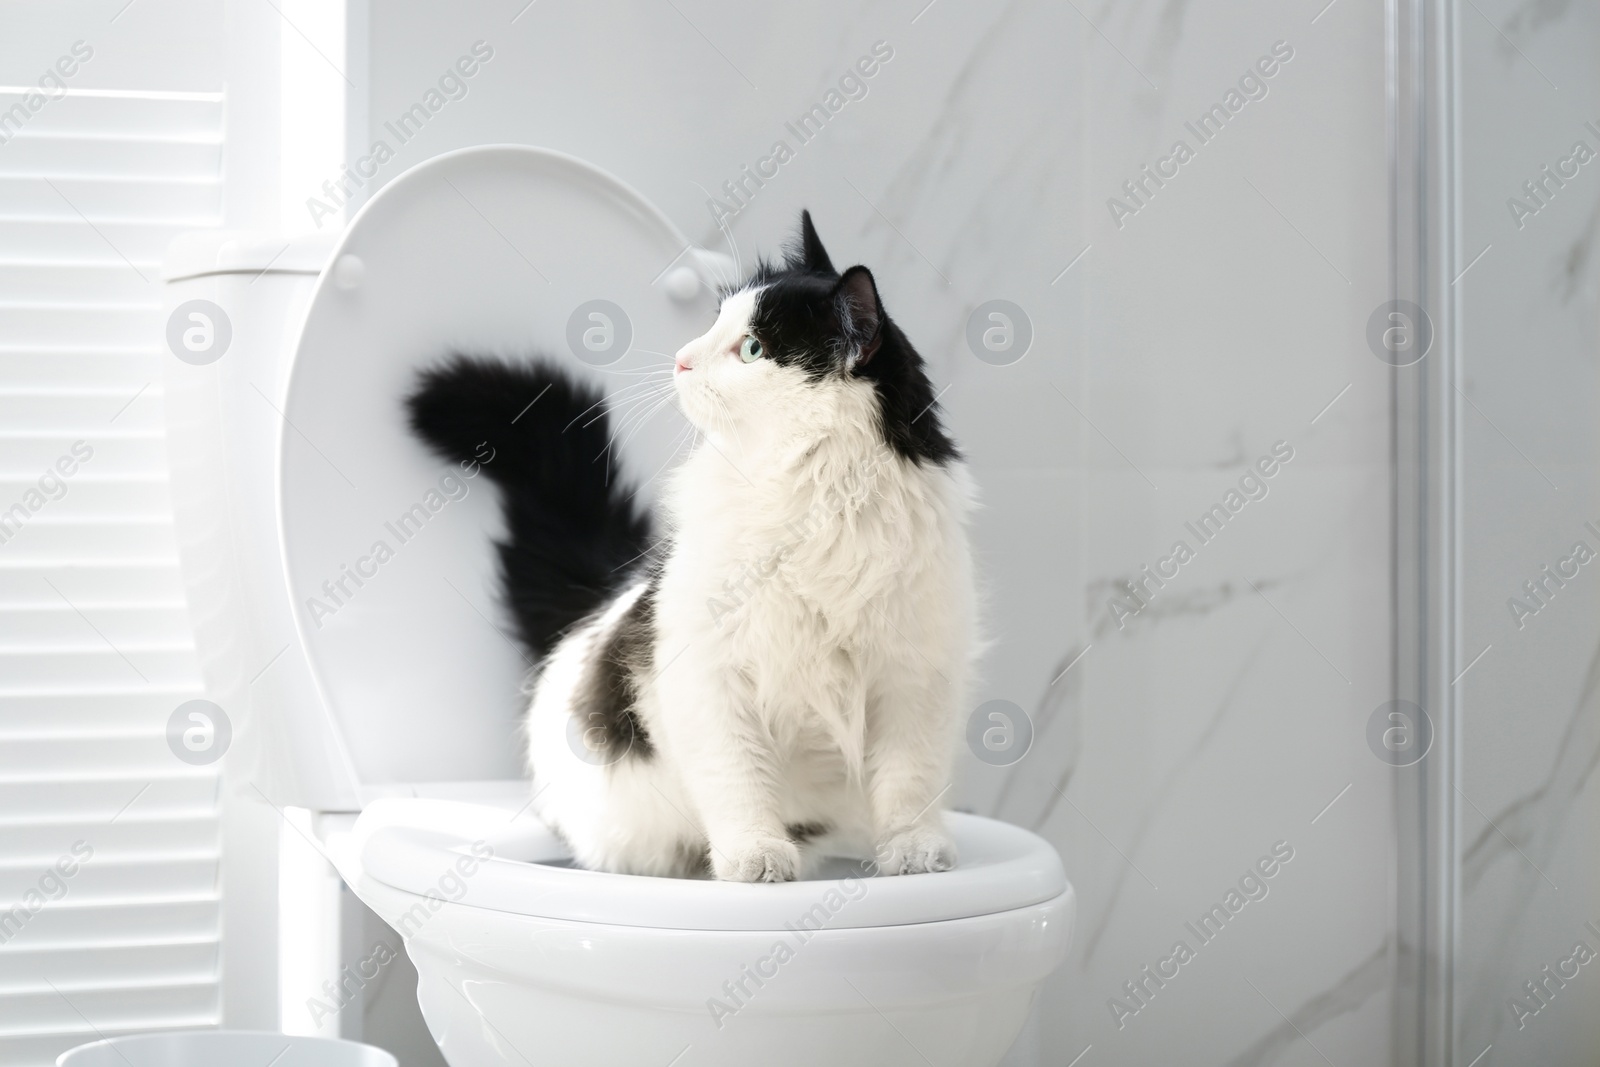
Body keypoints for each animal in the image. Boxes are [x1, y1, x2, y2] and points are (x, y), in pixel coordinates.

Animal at [406, 211, 972, 883]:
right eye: (713, 322)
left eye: (752, 348)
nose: (681, 360)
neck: (811, 504)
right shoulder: (709, 675)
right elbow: (739, 782)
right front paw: (756, 857)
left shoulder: (914, 675)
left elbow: (909, 785)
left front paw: (914, 854)